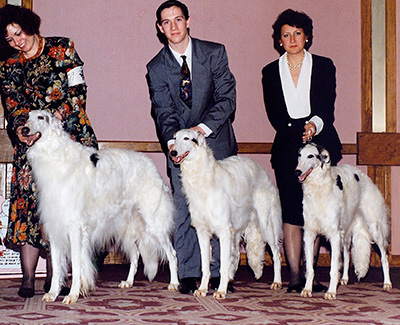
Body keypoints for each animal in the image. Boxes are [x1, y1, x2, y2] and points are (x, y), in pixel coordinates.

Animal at [21, 110, 178, 304]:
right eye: (27, 117)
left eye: (41, 117)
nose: (24, 129)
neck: (55, 155)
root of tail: (151, 165)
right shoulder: (55, 227)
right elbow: (57, 267)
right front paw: (52, 293)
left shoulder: (75, 228)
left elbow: (76, 265)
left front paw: (72, 294)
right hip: (127, 227)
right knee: (135, 255)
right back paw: (128, 281)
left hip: (154, 223)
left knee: (172, 254)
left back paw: (174, 283)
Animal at [170, 129, 282, 298]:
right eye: (174, 138)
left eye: (187, 138)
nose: (172, 152)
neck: (204, 179)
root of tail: (262, 171)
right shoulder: (202, 232)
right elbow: (205, 266)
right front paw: (202, 289)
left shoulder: (224, 231)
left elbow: (222, 265)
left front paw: (221, 291)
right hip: (238, 228)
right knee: (236, 257)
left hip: (265, 223)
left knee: (276, 253)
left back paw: (277, 282)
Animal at [296, 143, 390, 300]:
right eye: (299, 155)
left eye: (310, 156)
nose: (297, 171)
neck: (319, 187)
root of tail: (365, 177)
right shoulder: (310, 233)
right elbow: (310, 268)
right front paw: (307, 289)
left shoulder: (334, 234)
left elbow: (333, 268)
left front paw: (331, 291)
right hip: (346, 231)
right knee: (347, 255)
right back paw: (344, 278)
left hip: (374, 228)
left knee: (384, 256)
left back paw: (387, 283)